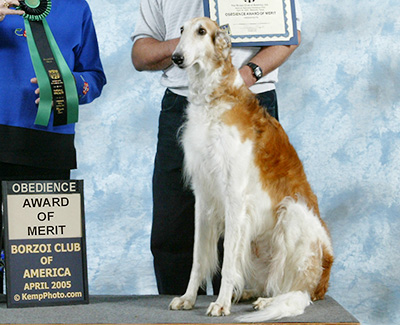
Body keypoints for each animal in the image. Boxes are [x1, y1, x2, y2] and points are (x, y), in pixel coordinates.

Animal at [169, 17, 334, 318]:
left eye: (202, 31)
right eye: (181, 31)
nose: (176, 57)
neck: (215, 98)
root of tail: (323, 284)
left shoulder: (235, 195)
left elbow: (228, 262)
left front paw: (220, 303)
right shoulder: (203, 195)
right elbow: (198, 257)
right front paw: (187, 298)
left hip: (293, 214)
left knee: (297, 292)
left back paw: (266, 302)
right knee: (266, 285)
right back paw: (247, 293)